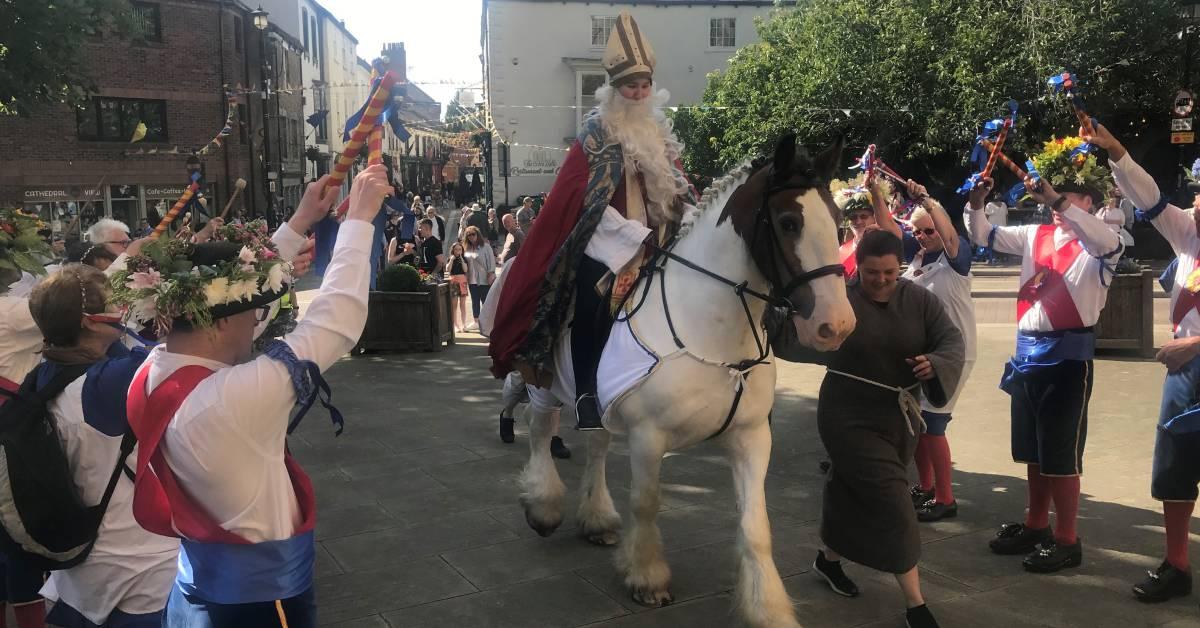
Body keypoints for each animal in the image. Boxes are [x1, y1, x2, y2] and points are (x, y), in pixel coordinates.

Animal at [516, 133, 854, 628]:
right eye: (788, 222)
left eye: (839, 223)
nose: (835, 326)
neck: (709, 328)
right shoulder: (648, 436)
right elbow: (646, 503)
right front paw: (646, 577)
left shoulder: (752, 437)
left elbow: (756, 526)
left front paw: (767, 607)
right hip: (542, 384)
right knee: (541, 431)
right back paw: (542, 508)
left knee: (596, 444)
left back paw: (597, 518)